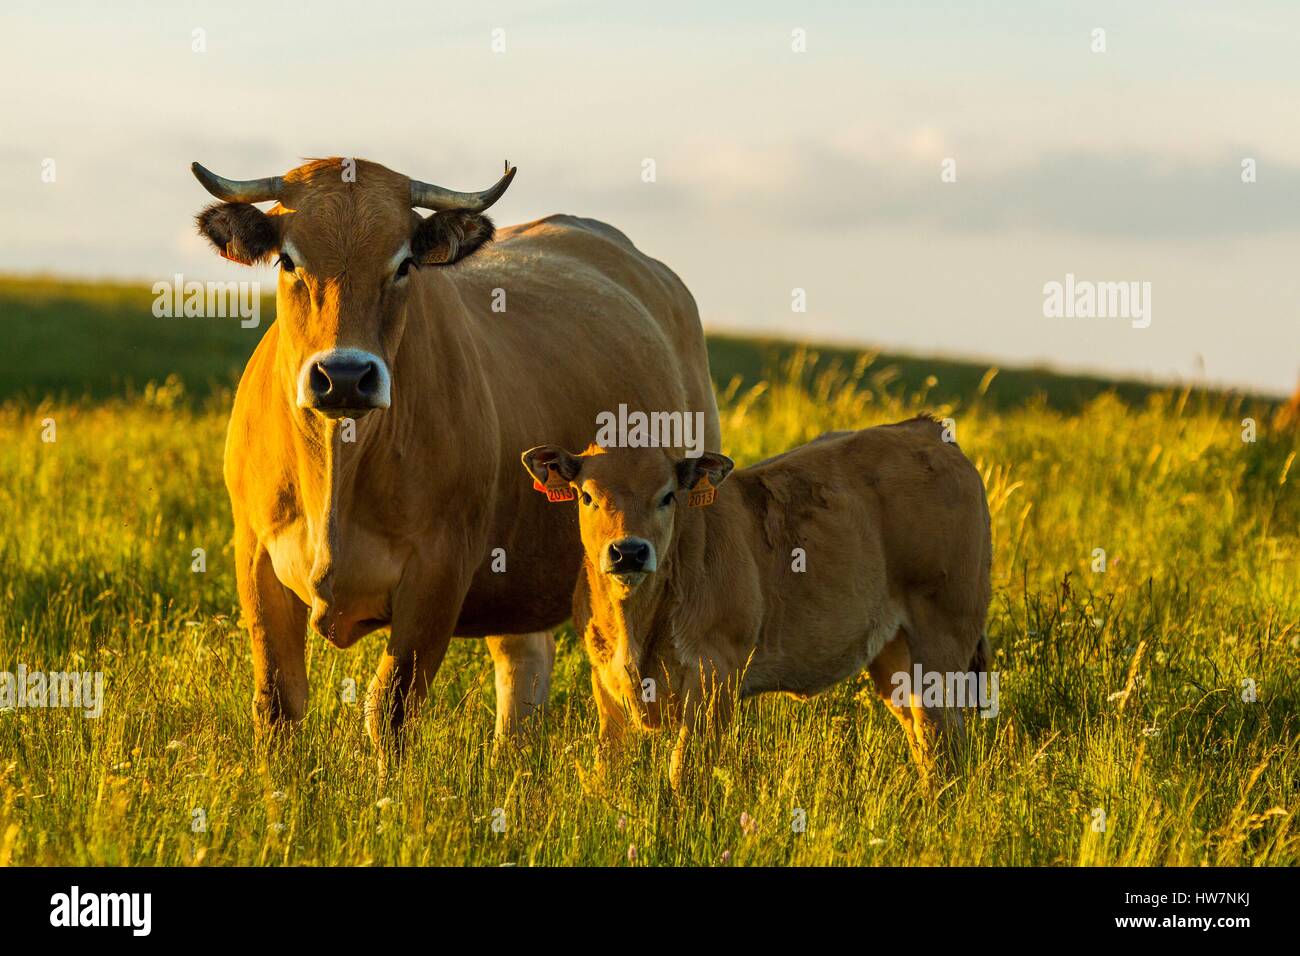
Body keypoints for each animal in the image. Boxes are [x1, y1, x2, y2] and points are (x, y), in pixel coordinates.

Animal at [189, 157, 722, 754]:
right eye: (287, 260)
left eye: (403, 264)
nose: (344, 376)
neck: (337, 466)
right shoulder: (255, 558)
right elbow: (278, 704)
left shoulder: (438, 570)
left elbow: (390, 708)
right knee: (523, 663)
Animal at [522, 416, 987, 790]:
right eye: (587, 496)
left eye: (667, 496)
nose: (630, 552)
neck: (636, 624)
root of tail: (926, 430)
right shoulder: (607, 683)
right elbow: (608, 770)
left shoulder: (715, 675)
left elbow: (683, 774)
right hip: (896, 656)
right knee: (921, 733)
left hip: (942, 640)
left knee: (943, 736)